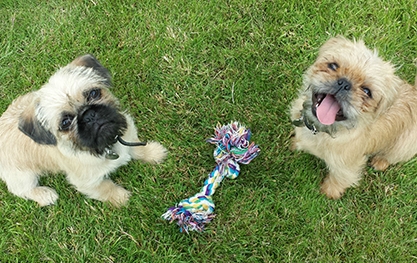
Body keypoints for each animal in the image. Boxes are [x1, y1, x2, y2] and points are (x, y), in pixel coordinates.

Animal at [0, 55, 166, 207]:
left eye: (94, 93)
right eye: (65, 122)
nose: (89, 115)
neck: (104, 146)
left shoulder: (127, 135)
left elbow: (137, 147)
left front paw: (153, 152)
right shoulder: (87, 182)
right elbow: (107, 188)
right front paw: (124, 199)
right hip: (23, 176)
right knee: (22, 190)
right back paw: (44, 195)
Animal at [290, 36, 416, 200]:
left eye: (367, 91)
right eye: (333, 66)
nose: (344, 83)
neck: (323, 130)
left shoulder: (347, 167)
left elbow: (339, 179)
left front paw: (329, 192)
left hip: (403, 146)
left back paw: (380, 161)